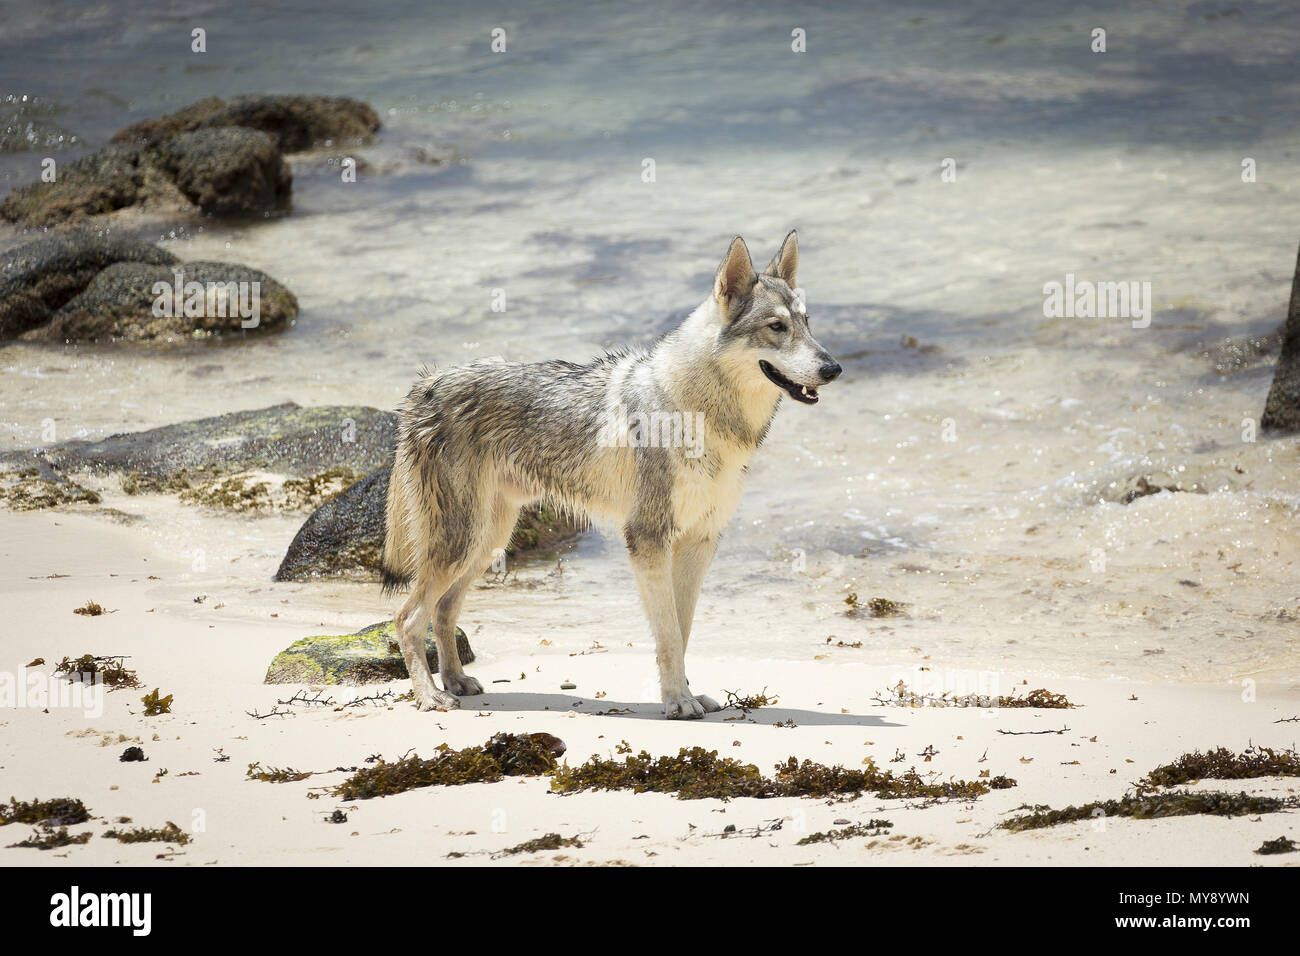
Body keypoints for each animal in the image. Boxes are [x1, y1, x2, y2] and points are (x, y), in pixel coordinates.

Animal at [377, 231, 842, 717]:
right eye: (776, 327)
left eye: (807, 323)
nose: (834, 368)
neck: (697, 411)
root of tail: (426, 383)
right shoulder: (648, 539)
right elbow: (669, 637)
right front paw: (678, 703)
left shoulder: (699, 542)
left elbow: (682, 631)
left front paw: (686, 694)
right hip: (463, 540)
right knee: (407, 617)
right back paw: (429, 696)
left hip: (487, 541)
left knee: (443, 609)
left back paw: (457, 681)